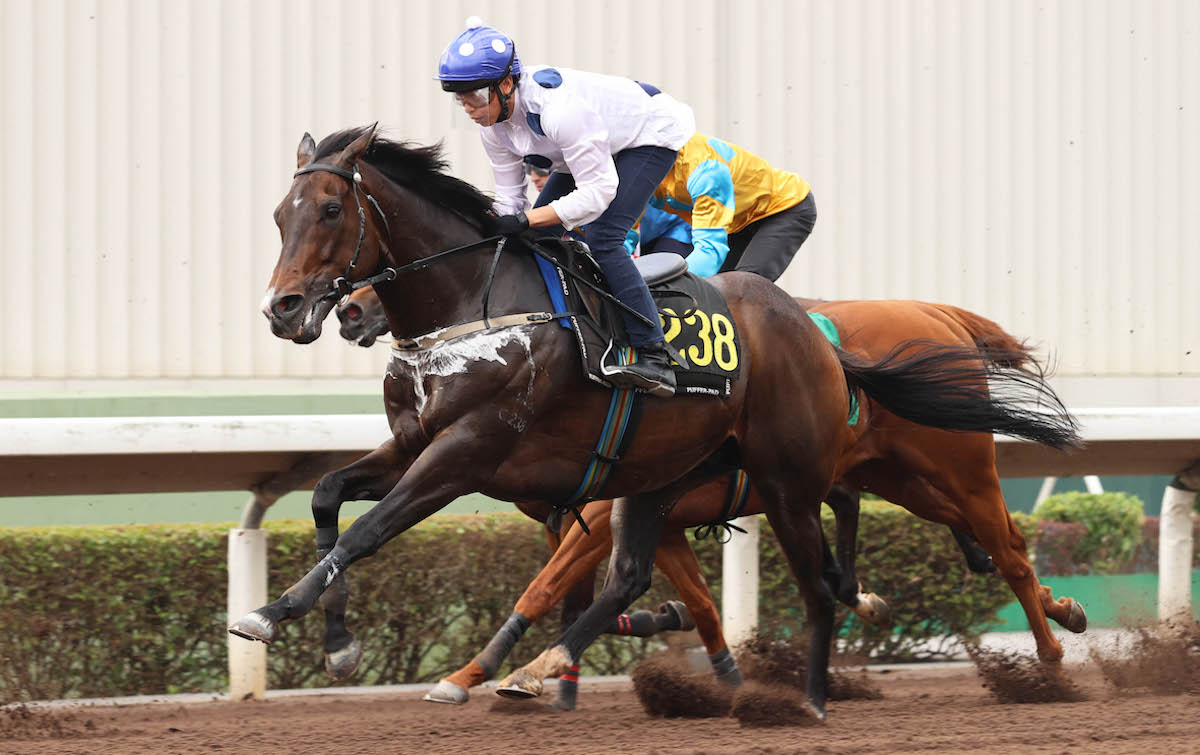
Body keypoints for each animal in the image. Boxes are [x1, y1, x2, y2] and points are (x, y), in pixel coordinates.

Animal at [231, 127, 1080, 720]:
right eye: (276, 215)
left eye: (331, 209)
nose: (291, 309)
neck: (480, 301)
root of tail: (936, 318)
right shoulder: (426, 447)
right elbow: (329, 498)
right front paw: (342, 644)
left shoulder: (472, 453)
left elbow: (384, 537)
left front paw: (276, 616)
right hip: (848, 477)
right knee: (951, 543)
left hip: (918, 470)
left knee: (999, 549)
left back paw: (1040, 661)